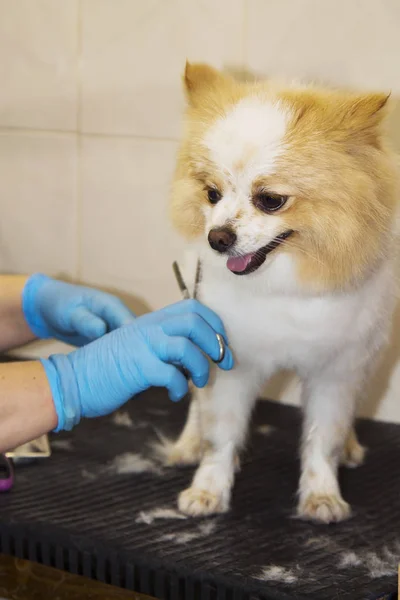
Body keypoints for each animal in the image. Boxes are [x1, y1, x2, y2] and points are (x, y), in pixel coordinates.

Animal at [164, 59, 398, 520]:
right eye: (212, 193)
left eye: (270, 200)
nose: (217, 237)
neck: (282, 286)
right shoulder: (228, 358)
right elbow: (220, 434)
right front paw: (208, 490)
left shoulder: (336, 369)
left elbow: (323, 438)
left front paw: (322, 496)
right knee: (197, 404)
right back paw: (187, 444)